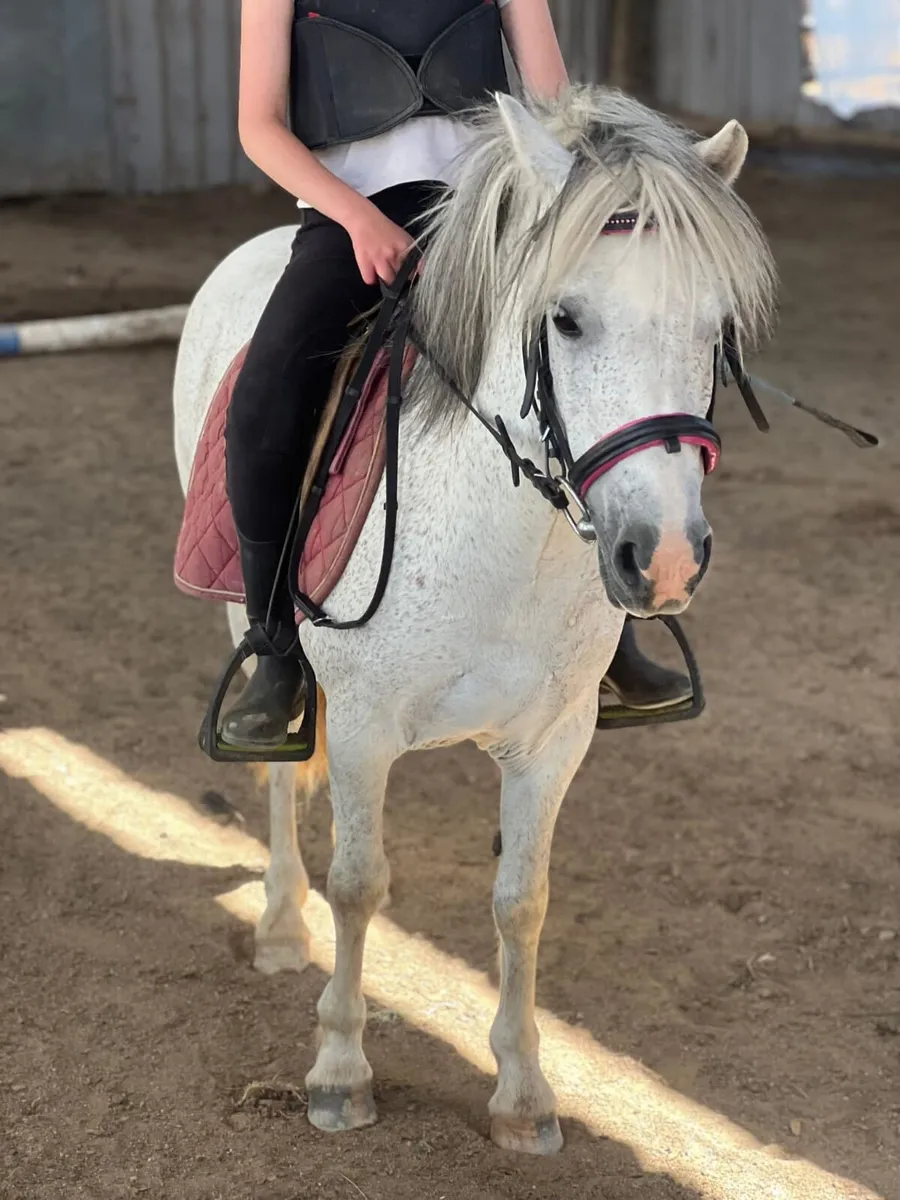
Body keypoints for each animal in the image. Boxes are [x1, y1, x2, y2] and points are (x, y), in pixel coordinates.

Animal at [173, 86, 776, 1155]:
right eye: (565, 320)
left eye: (716, 329)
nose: (662, 557)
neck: (508, 542)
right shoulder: (362, 726)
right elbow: (359, 883)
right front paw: (339, 1072)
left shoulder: (554, 739)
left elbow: (522, 900)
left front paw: (525, 1094)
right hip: (249, 618)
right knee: (281, 772)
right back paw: (281, 926)